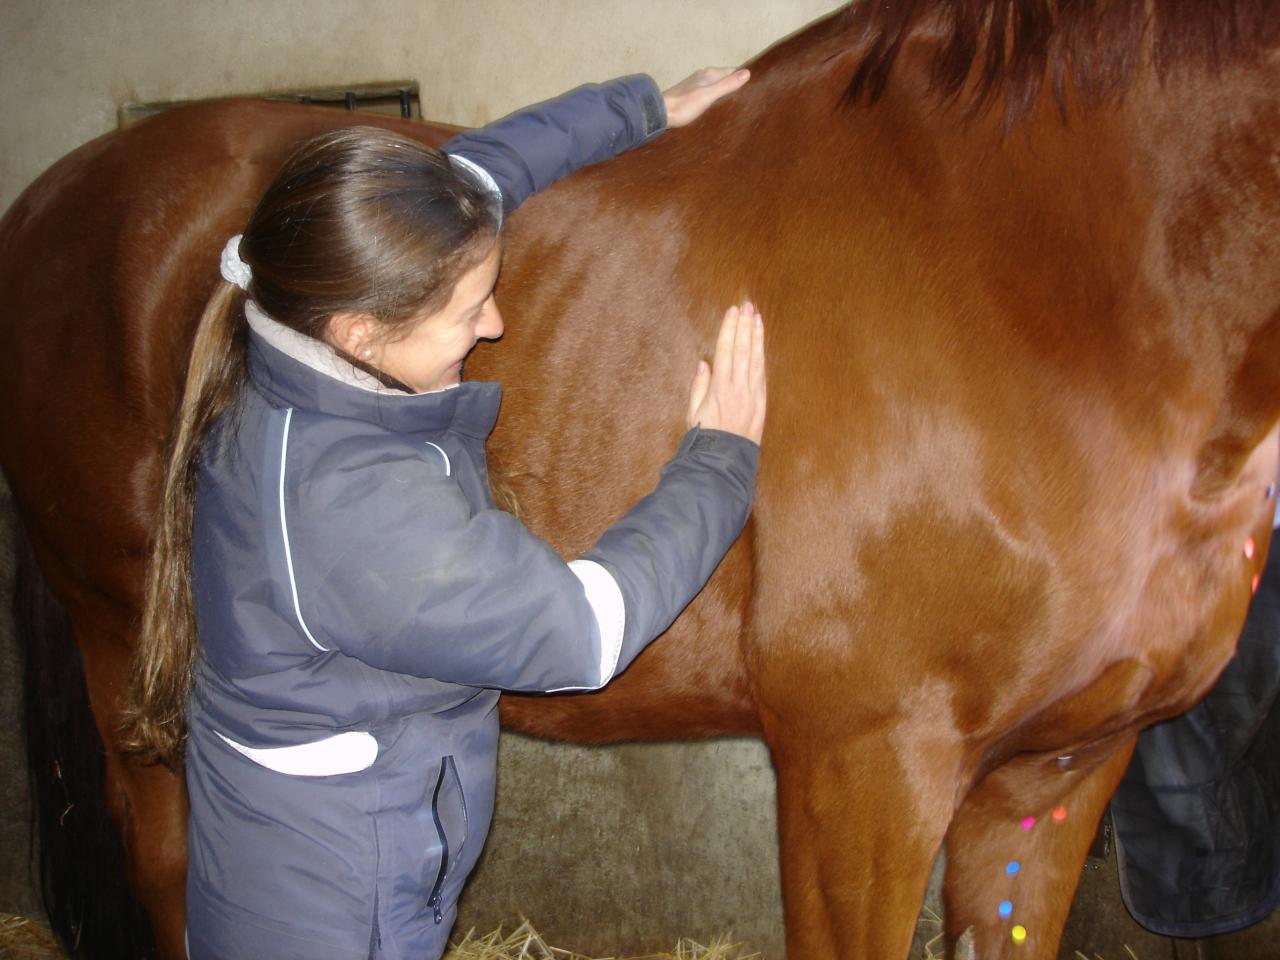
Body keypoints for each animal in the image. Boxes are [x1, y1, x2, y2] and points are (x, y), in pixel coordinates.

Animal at [2, 1, 1280, 960]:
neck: (1048, 281)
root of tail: (52, 202)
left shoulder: (1053, 777)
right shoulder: (859, 767)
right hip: (131, 653)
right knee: (170, 861)